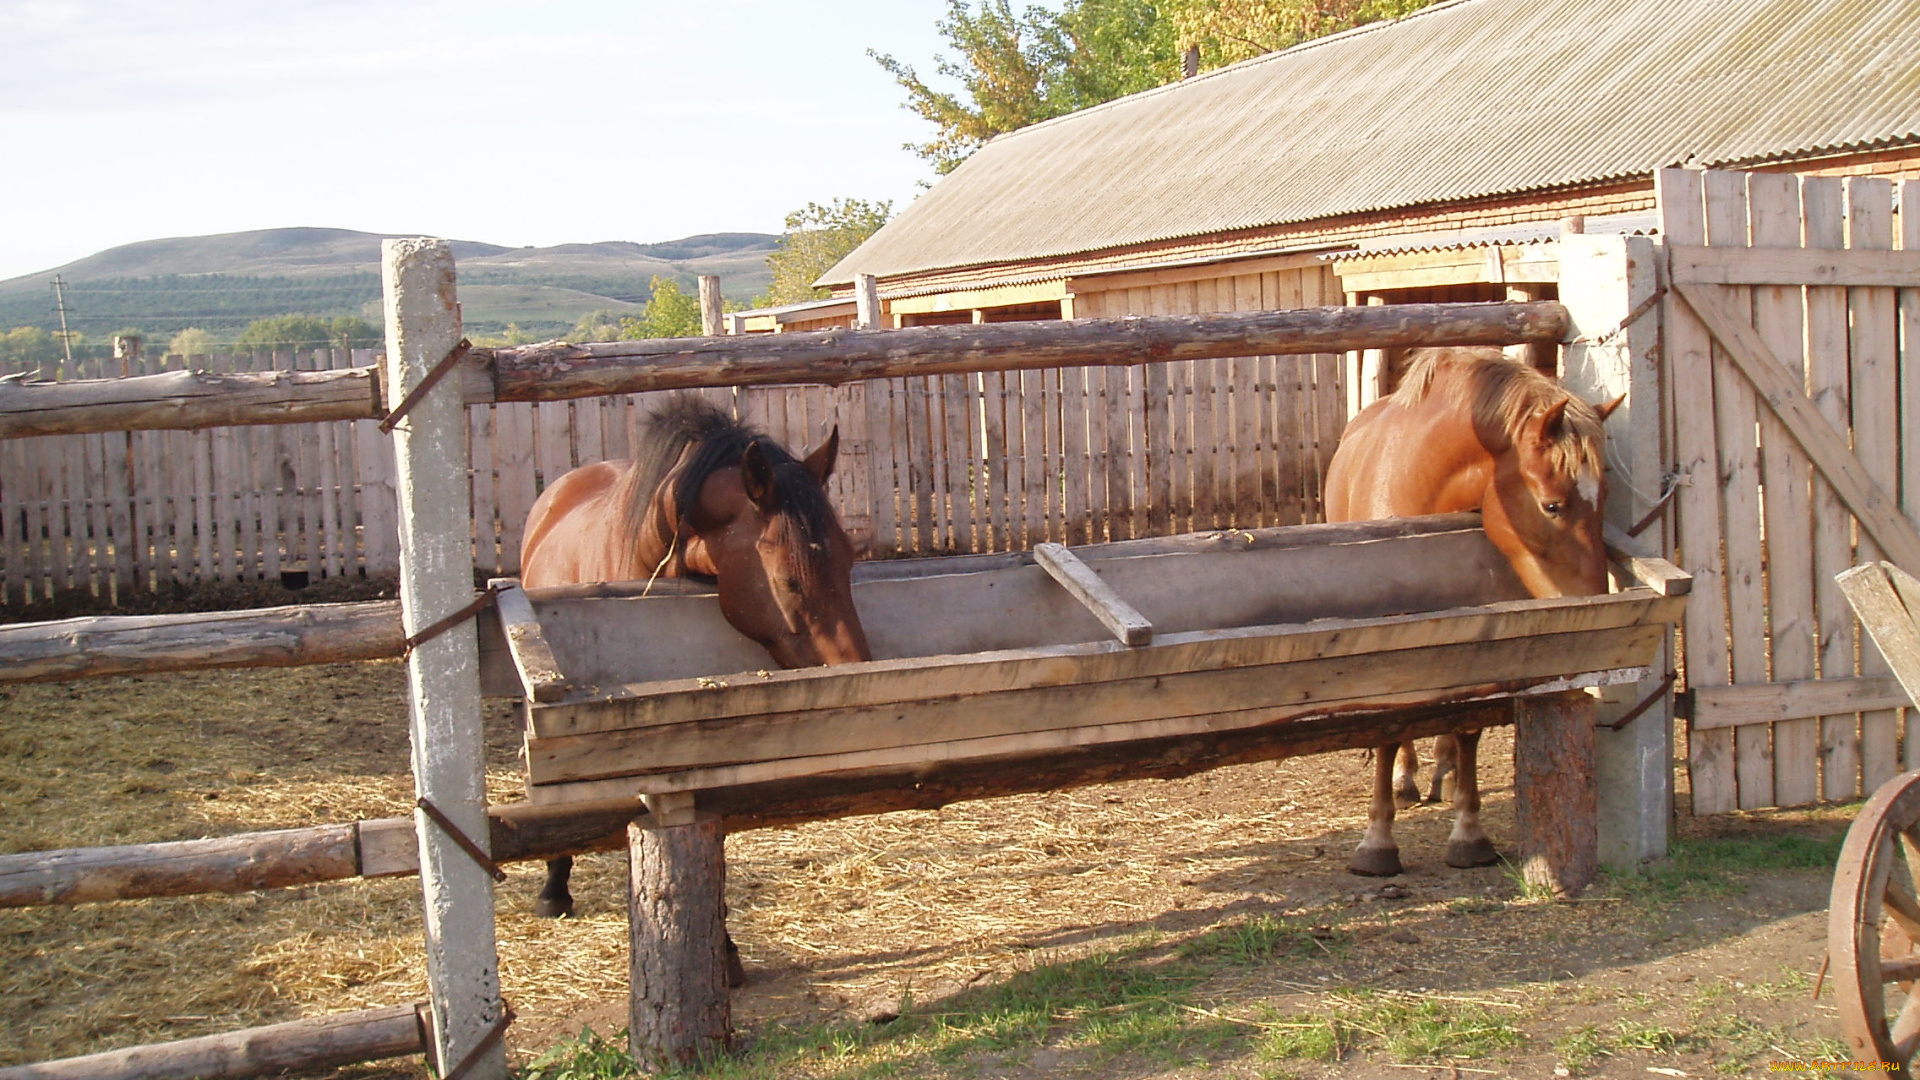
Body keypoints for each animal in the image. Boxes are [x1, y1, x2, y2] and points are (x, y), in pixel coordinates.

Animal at [1320, 343, 1620, 876]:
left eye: (1606, 496)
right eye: (1552, 505)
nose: (1595, 604)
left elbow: (1467, 727)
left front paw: (1469, 832)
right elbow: (1388, 731)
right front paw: (1377, 841)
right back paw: (1408, 779)